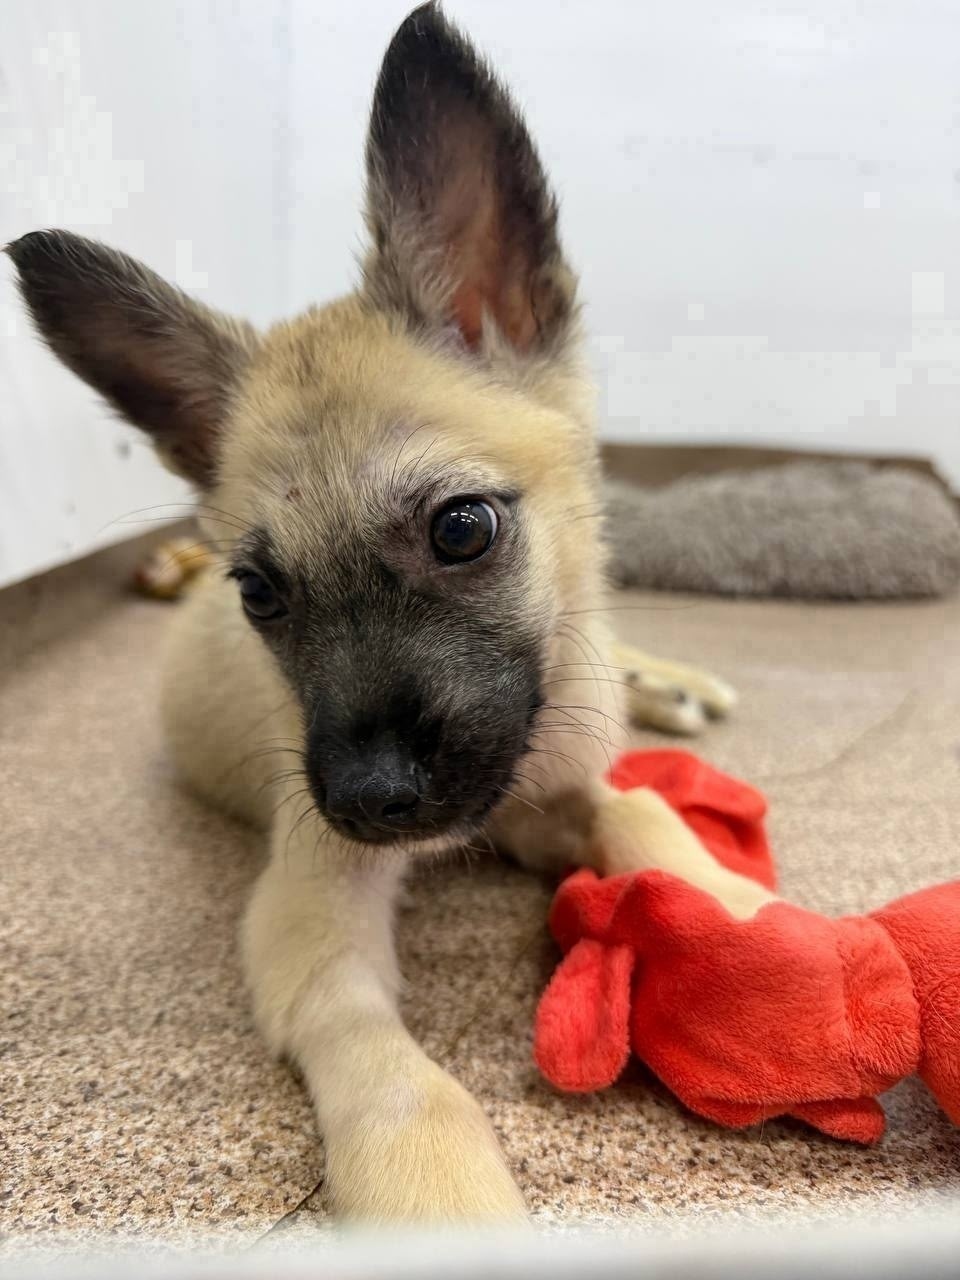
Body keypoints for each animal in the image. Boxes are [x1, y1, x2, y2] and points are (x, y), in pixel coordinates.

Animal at [8, 4, 739, 1224]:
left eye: (463, 530)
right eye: (259, 593)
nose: (367, 800)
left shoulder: (554, 774)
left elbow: (645, 814)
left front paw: (746, 908)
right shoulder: (311, 908)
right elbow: (386, 1066)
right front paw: (440, 1198)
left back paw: (676, 683)